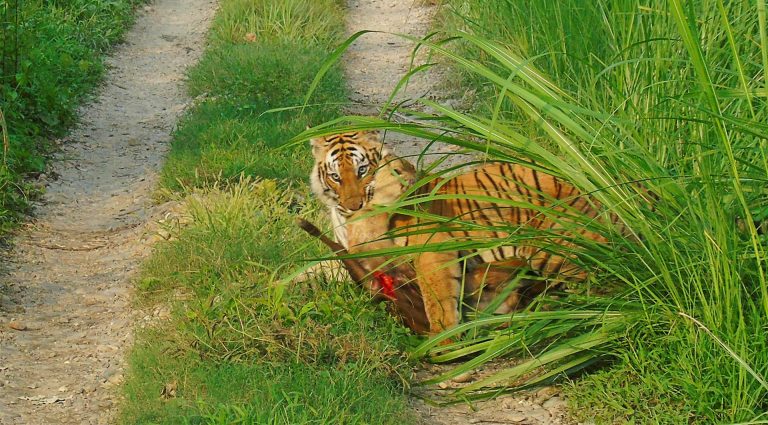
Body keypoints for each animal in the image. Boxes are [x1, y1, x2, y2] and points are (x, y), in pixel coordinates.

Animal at [309, 130, 608, 335]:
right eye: (336, 176)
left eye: (363, 170)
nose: (353, 205)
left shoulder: (432, 248)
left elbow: (438, 298)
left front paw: (444, 340)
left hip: (548, 249)